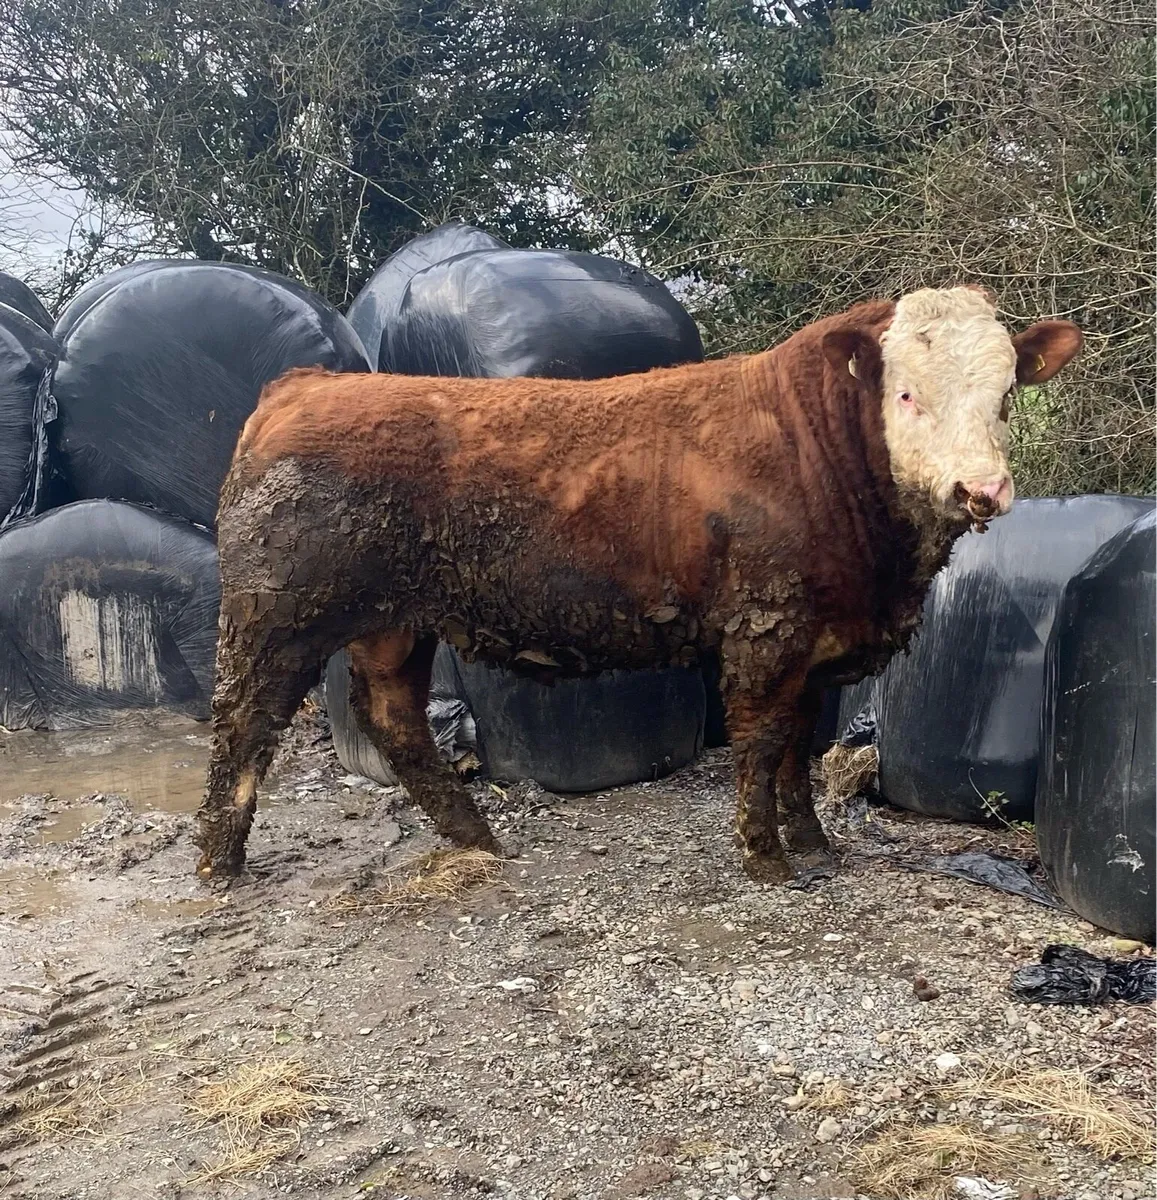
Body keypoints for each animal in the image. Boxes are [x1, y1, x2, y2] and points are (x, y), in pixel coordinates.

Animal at [193, 286, 1082, 884]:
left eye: (1005, 395)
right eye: (905, 392)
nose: (981, 489)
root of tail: (305, 385)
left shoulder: (816, 641)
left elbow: (799, 743)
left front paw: (813, 843)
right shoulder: (765, 627)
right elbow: (762, 739)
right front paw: (765, 856)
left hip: (394, 621)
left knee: (393, 719)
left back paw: (476, 838)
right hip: (275, 614)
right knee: (244, 722)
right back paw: (218, 864)